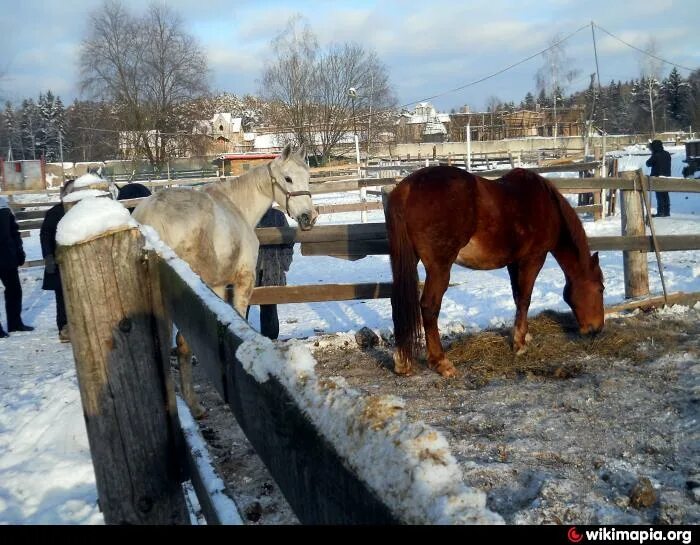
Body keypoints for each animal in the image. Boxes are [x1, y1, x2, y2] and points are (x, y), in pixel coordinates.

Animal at [132, 144, 318, 416]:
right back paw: (193, 405)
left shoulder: (217, 288)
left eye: (307, 176)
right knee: (180, 344)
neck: (237, 208)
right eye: (287, 178)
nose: (308, 217)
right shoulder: (241, 282)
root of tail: (150, 219)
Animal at [386, 167, 604, 378]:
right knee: (429, 306)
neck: (547, 206)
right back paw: (441, 362)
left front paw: (523, 335)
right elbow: (525, 298)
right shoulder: (533, 258)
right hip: (439, 267)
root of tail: (407, 188)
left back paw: (402, 362)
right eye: (601, 288)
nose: (597, 328)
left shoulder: (513, 262)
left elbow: (517, 296)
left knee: (398, 300)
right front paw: (520, 344)